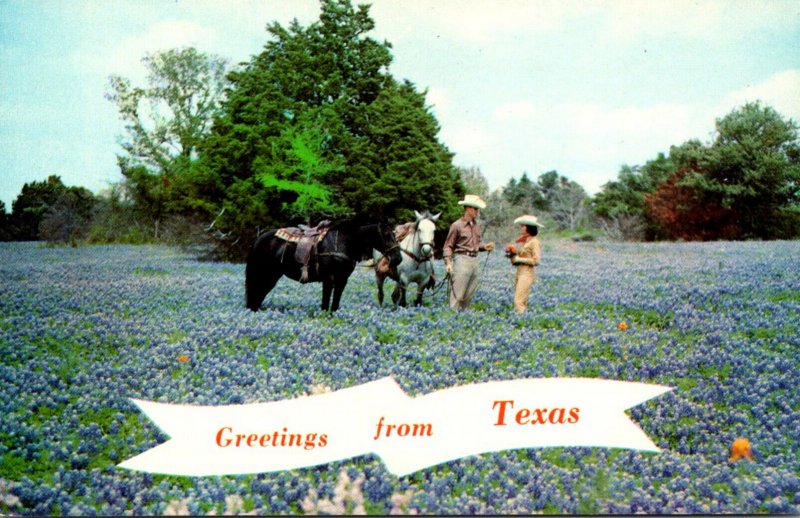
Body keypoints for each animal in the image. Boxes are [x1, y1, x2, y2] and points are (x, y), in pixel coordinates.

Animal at [244, 218, 400, 312]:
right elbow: (325, 303)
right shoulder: (329, 278)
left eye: (394, 234)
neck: (342, 242)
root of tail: (259, 239)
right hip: (266, 274)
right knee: (256, 293)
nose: (398, 258)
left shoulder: (342, 280)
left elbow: (335, 303)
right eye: (386, 235)